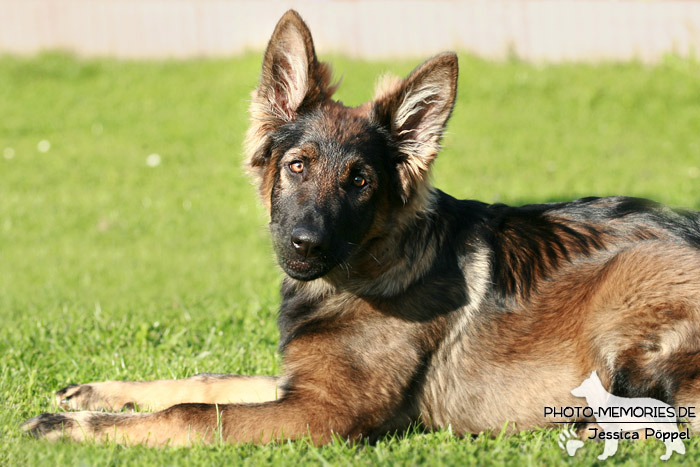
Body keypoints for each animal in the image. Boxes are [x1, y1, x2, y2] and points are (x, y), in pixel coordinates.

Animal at [21, 9, 700, 444]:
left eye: (361, 182)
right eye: (296, 165)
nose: (305, 243)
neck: (367, 268)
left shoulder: (321, 413)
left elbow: (191, 412)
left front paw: (75, 429)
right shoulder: (297, 383)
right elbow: (209, 380)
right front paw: (98, 394)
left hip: (632, 284)